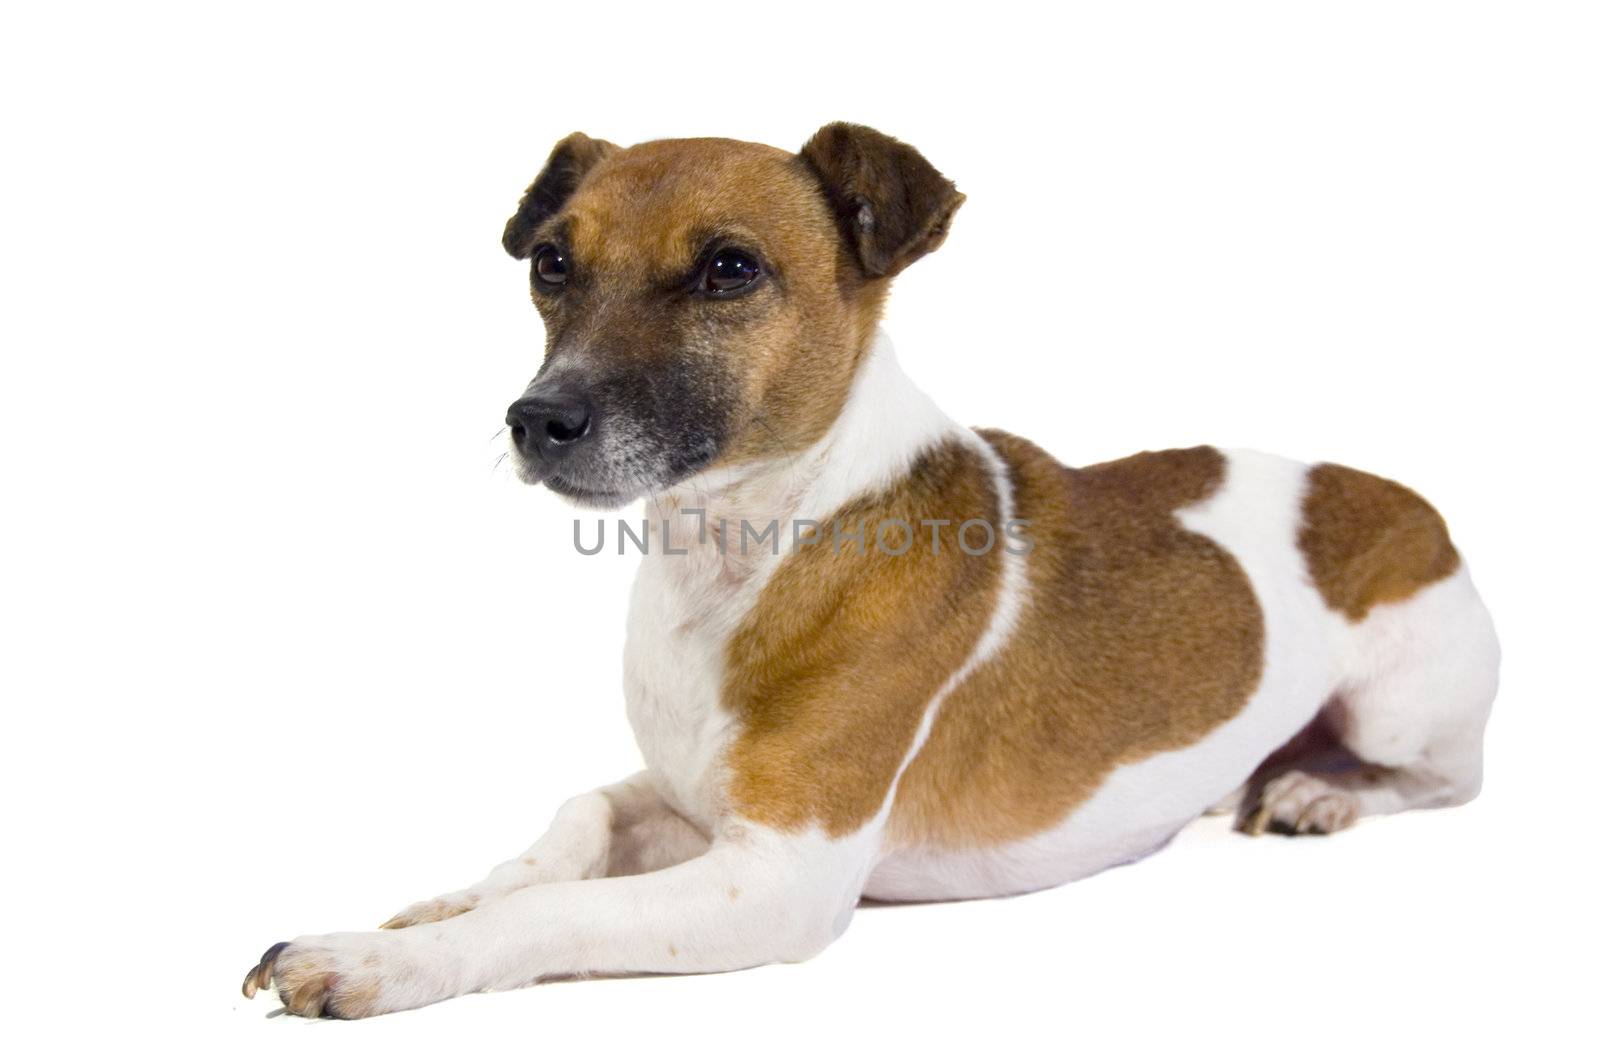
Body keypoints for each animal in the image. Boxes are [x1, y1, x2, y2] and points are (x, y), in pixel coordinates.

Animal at [240, 120, 1497, 1017]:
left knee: (1443, 778)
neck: (747, 547)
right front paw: (438, 900)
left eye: (729, 268)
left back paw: (1317, 787)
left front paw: (380, 959)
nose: (536, 420)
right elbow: (568, 825)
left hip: (1404, 703)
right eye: (551, 261)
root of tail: (1402, 496)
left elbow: (553, 914)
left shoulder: (778, 878)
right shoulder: (684, 797)